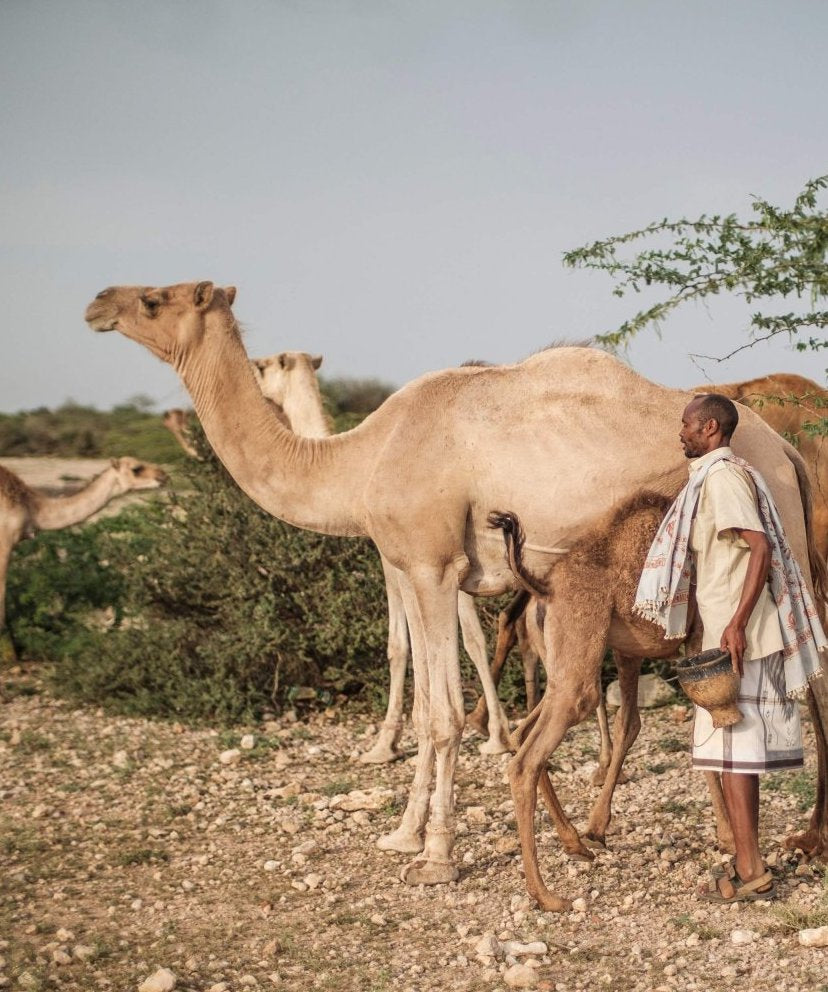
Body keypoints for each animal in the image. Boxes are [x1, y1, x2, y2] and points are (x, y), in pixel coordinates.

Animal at [251, 349, 511, 760]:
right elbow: (468, 638)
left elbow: (401, 645)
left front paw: (385, 743)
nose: (252, 372)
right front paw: (494, 733)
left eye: (264, 368)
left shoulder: (400, 561)